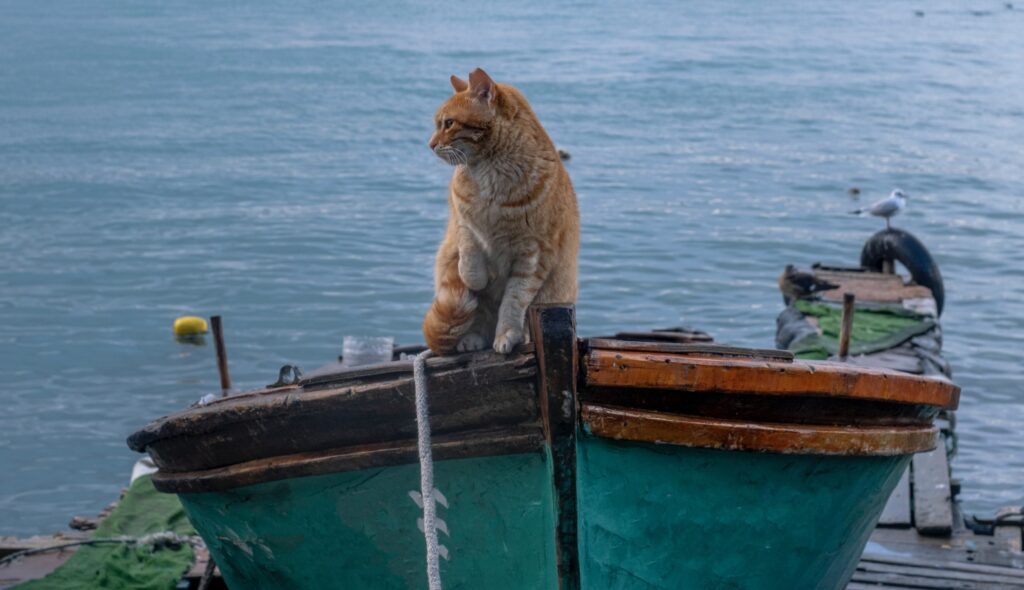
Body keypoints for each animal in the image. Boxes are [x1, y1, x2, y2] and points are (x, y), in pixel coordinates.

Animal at [421, 69, 581, 354]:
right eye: (439, 124)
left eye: (448, 123)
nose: (430, 144)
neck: (490, 172)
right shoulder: (462, 221)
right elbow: (469, 257)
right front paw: (475, 279)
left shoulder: (533, 256)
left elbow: (512, 302)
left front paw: (506, 334)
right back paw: (471, 338)